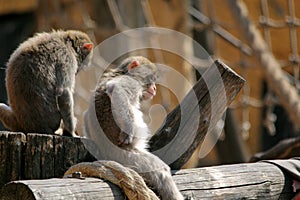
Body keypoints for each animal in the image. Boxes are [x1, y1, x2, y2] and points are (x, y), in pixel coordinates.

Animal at [83, 56, 184, 200]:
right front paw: (128, 131)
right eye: (151, 79)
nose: (154, 88)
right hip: (128, 157)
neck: (121, 72)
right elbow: (117, 89)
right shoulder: (133, 82)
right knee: (161, 171)